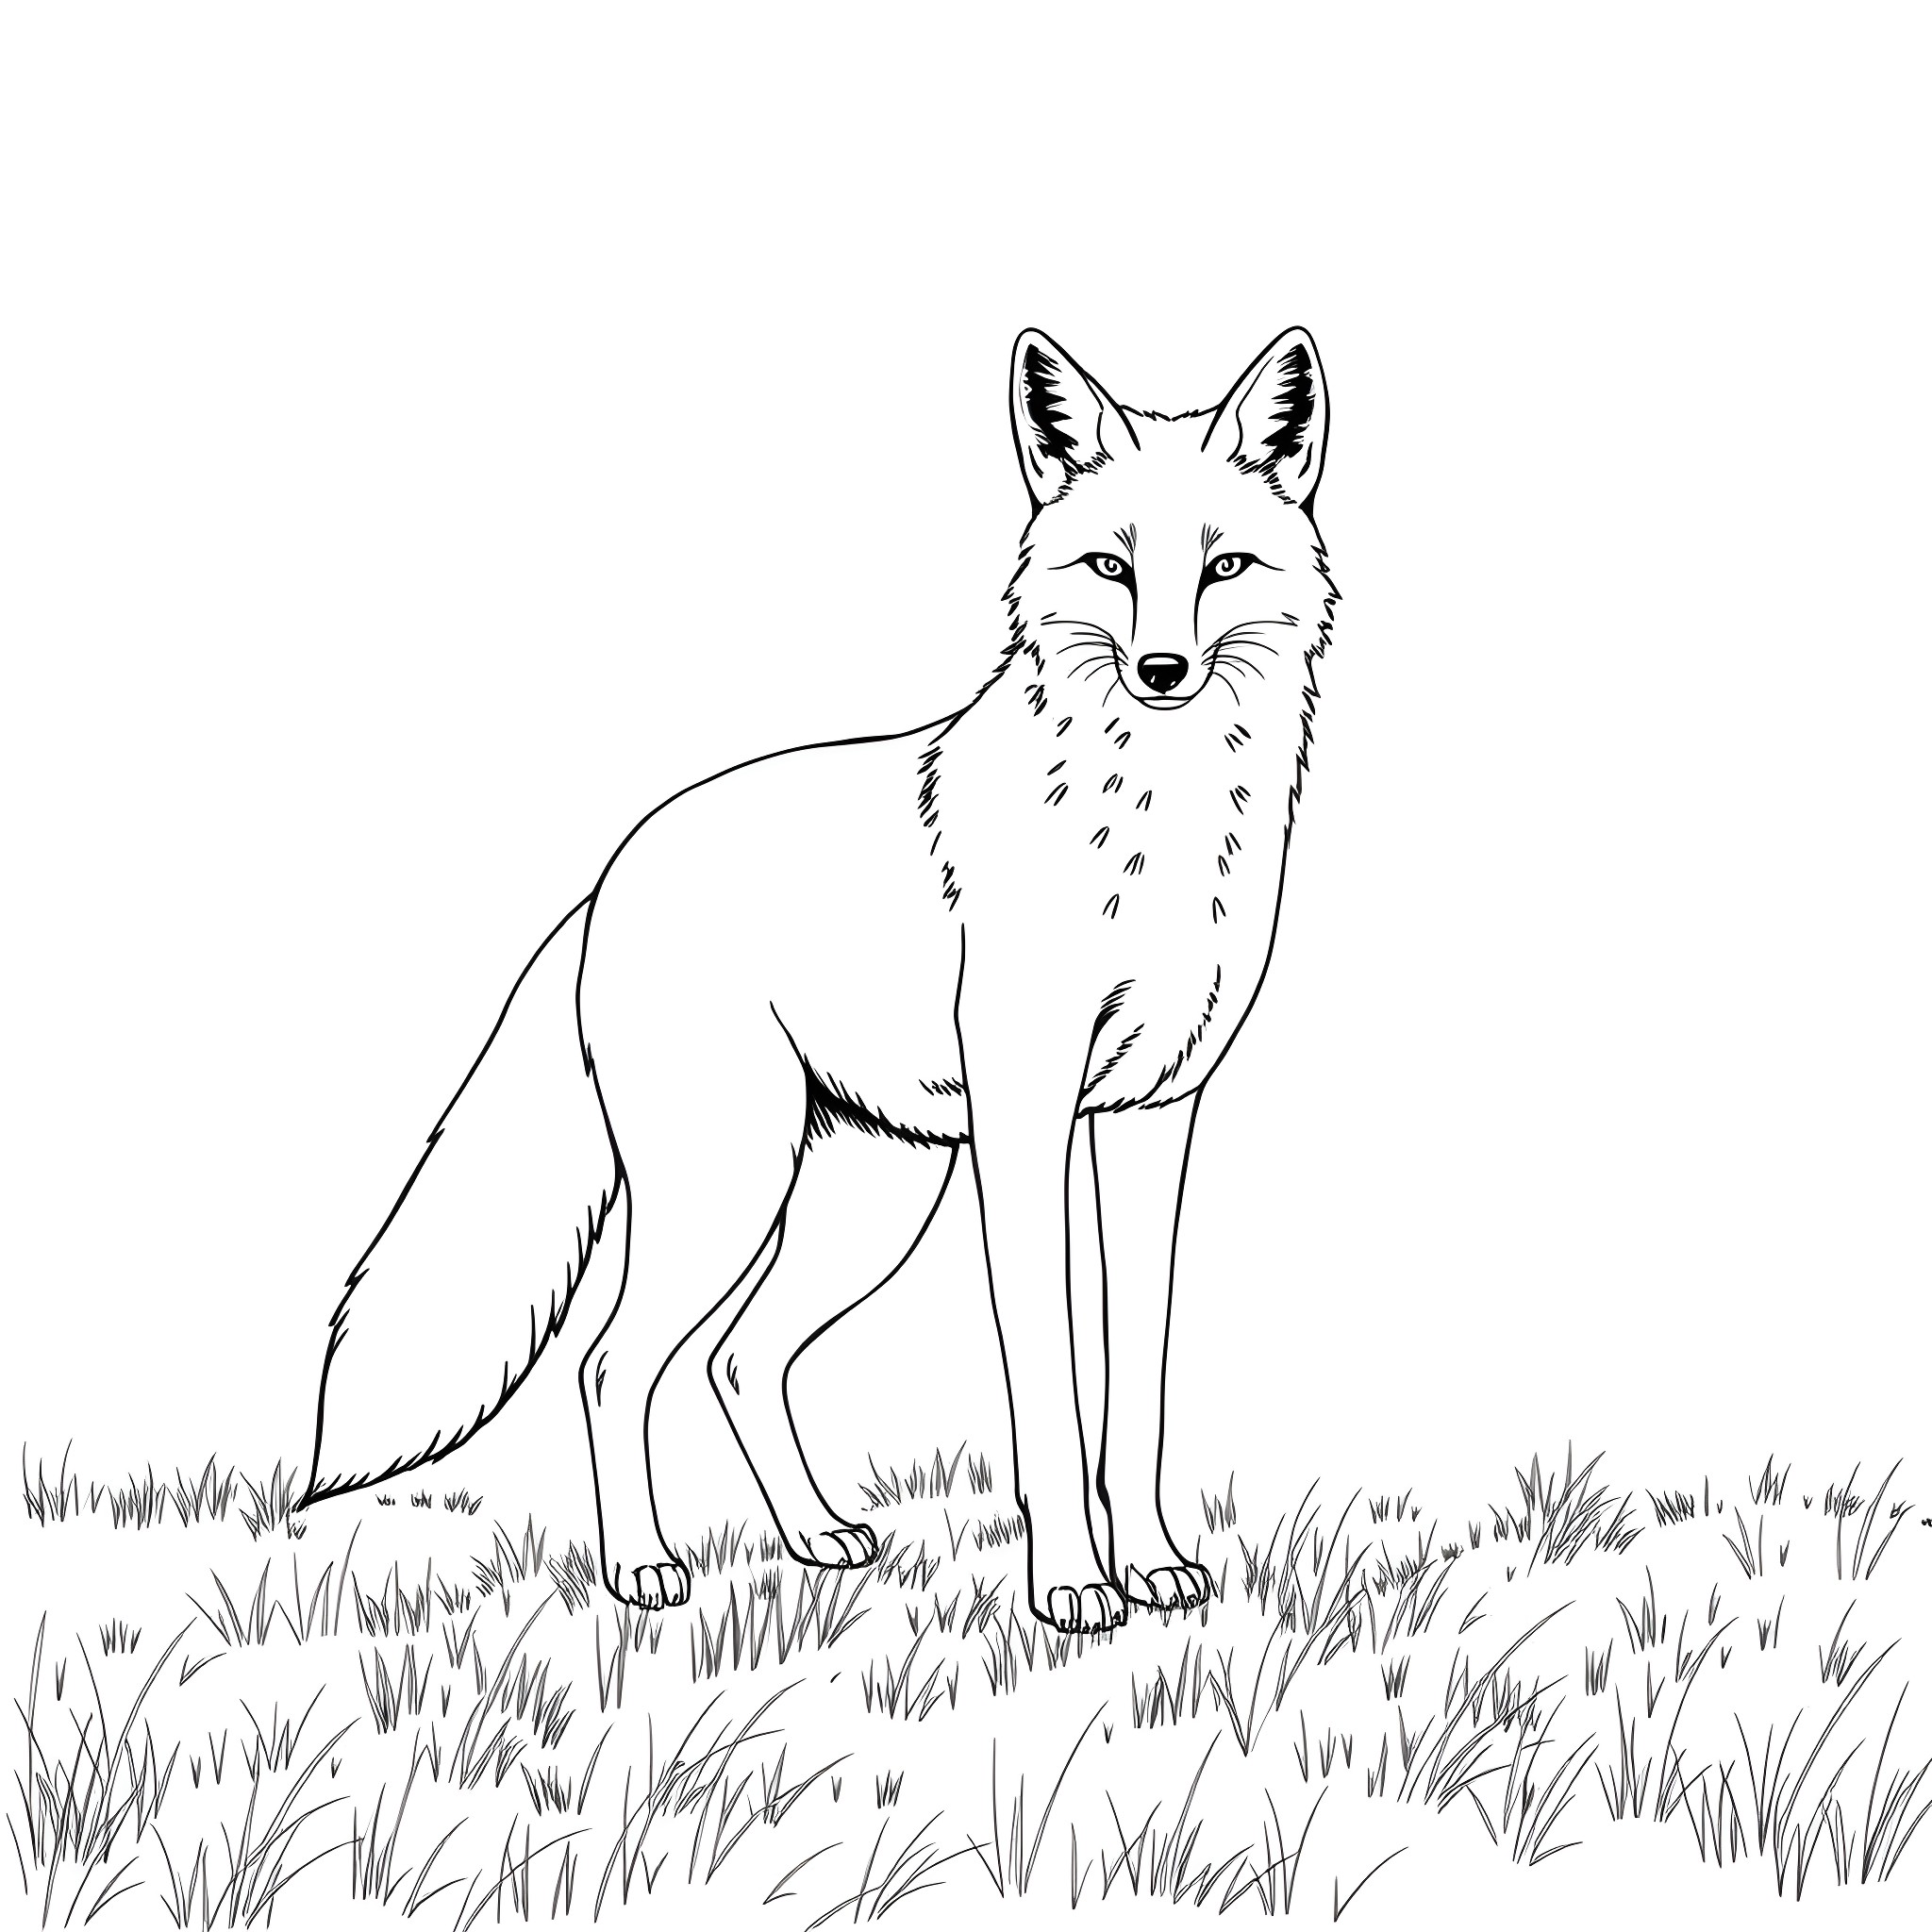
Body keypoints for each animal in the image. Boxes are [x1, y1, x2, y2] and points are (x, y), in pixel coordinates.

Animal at [297, 327, 1338, 1633]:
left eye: (1223, 565)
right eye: (1110, 565)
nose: (1161, 669)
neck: (1157, 825)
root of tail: (609, 874)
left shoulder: (1152, 1118)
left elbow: (1135, 1383)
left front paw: (1148, 1565)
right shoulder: (1024, 1125)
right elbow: (1047, 1383)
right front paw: (1069, 1583)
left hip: (867, 1204)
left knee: (739, 1357)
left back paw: (815, 1535)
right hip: (731, 1191)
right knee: (612, 1362)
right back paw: (641, 1568)